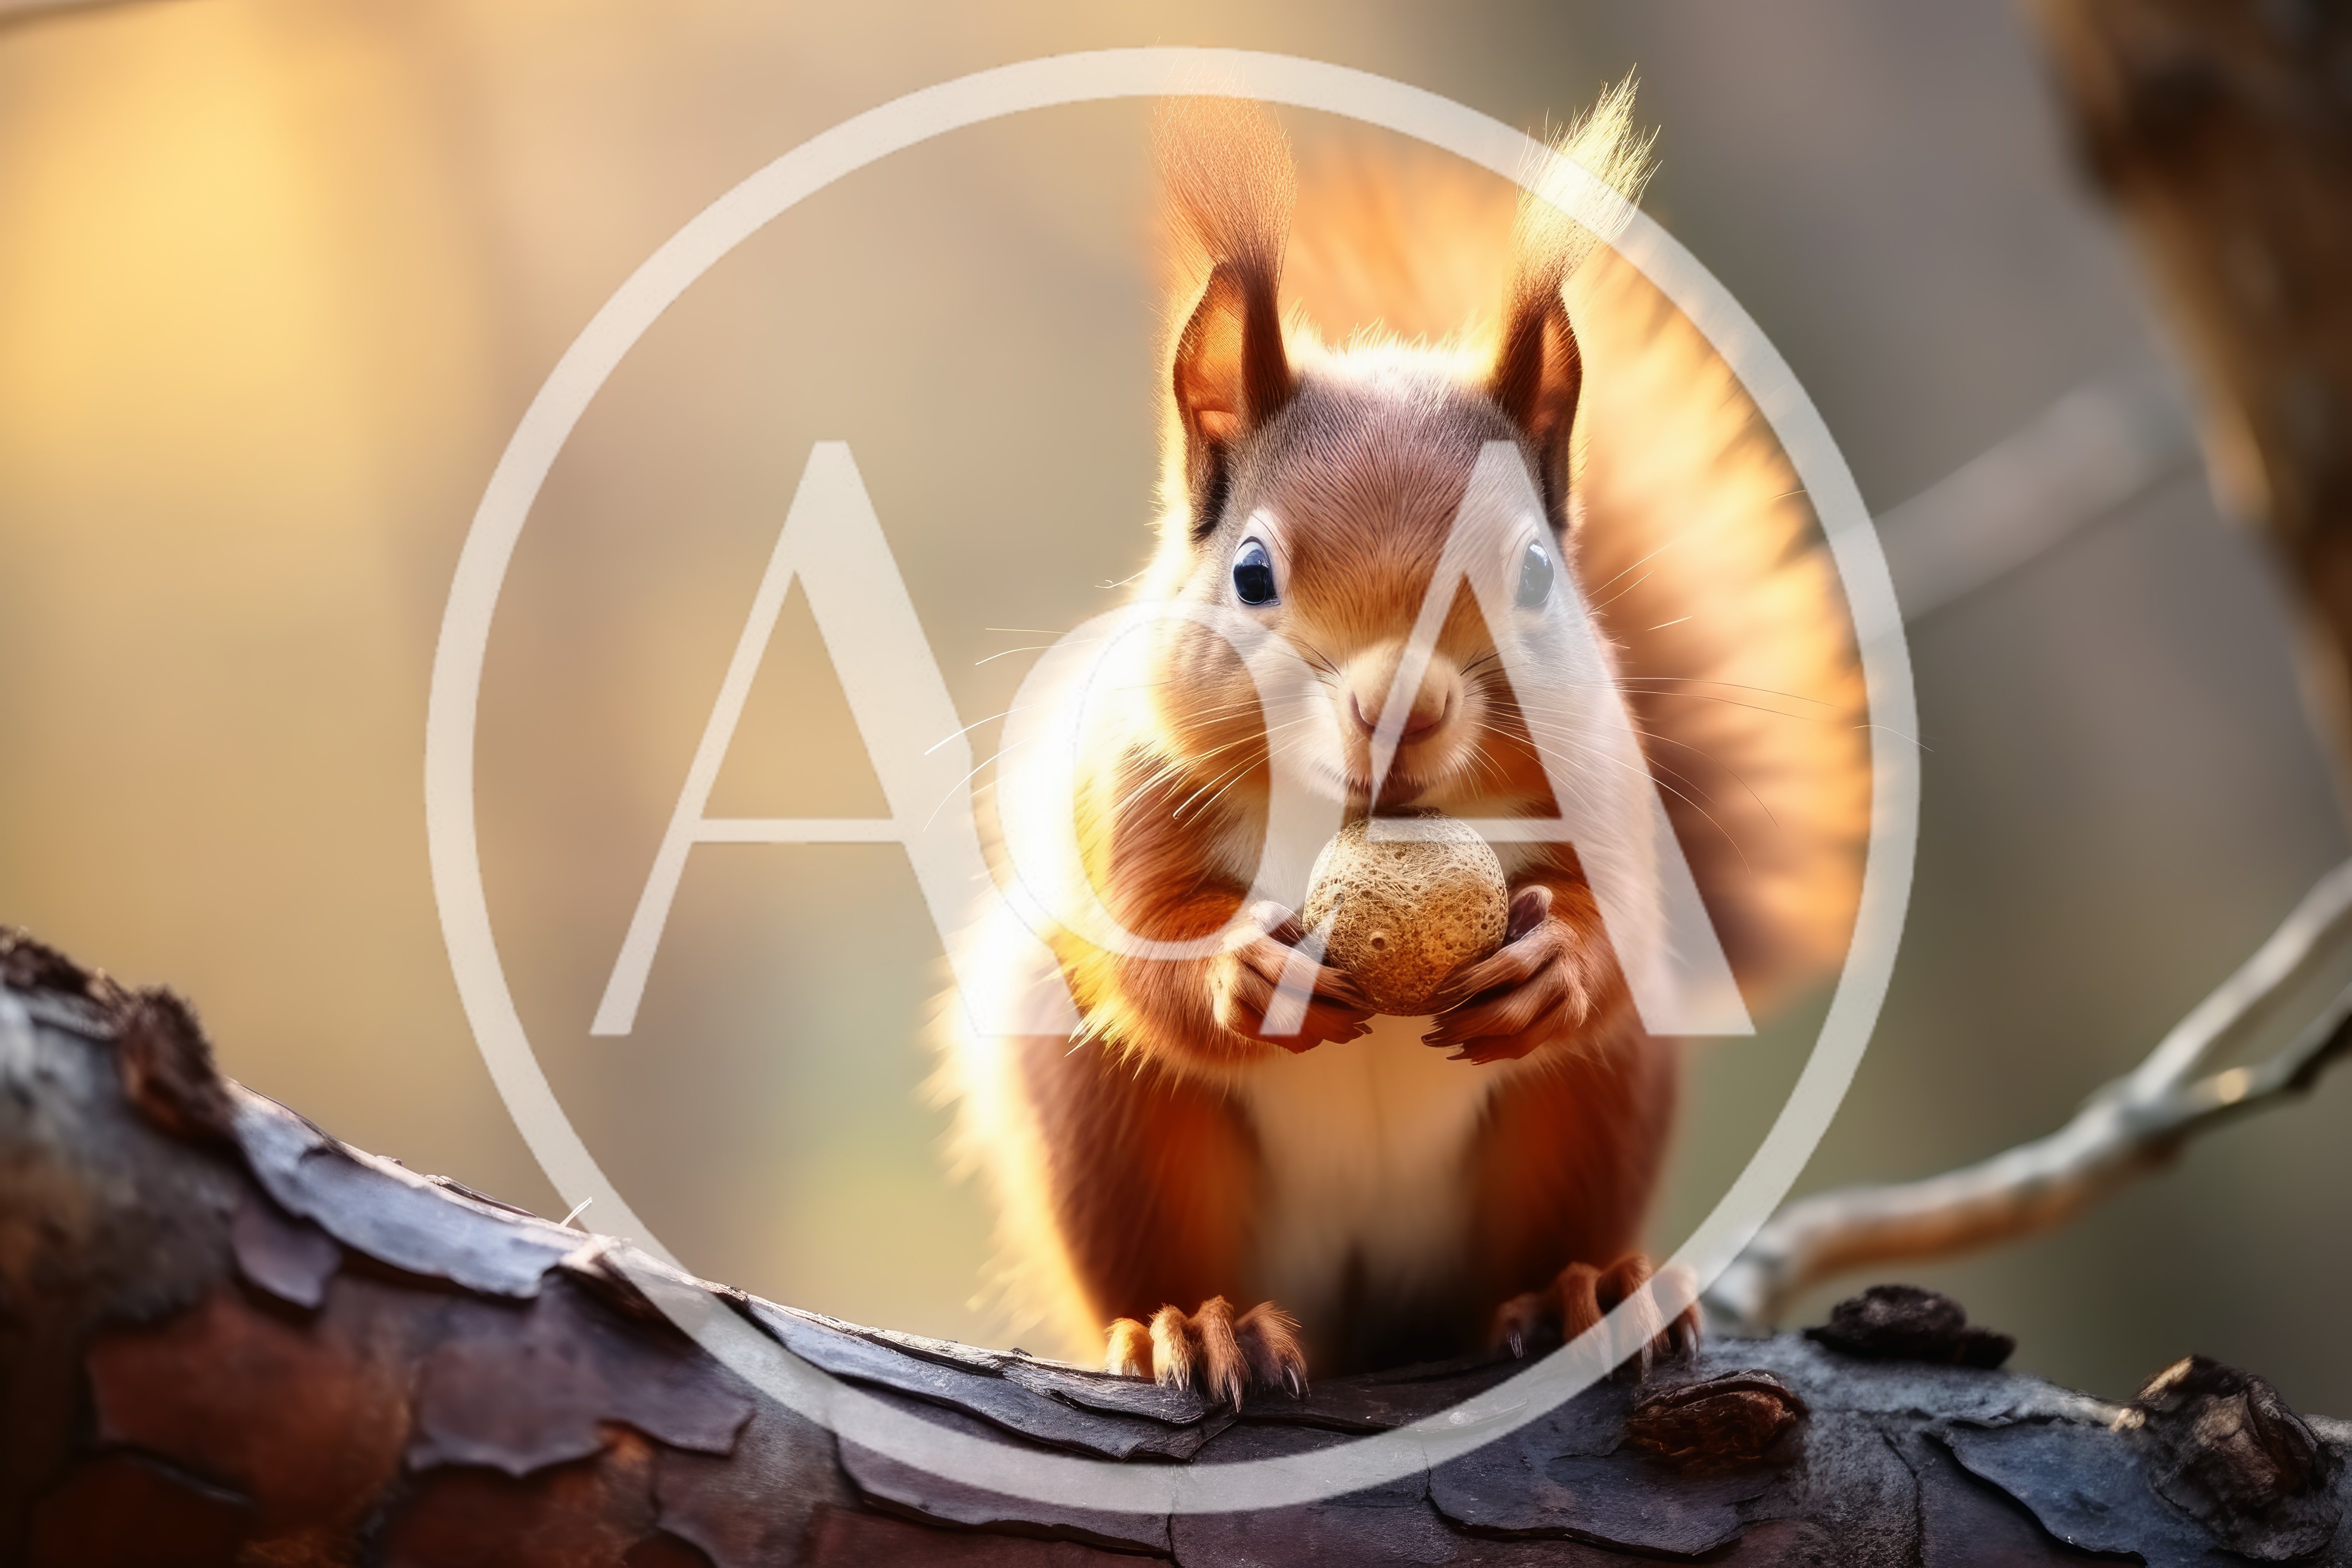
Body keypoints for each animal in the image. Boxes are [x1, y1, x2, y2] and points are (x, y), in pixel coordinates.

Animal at [937, 83, 1870, 1403]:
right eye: (1251, 572)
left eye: (1534, 572)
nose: (1402, 707)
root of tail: (1364, 1329)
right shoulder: (1129, 787)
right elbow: (1142, 942)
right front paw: (1244, 969)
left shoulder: (1609, 795)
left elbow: (1619, 924)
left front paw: (1553, 964)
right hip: (1108, 1126)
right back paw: (1195, 1326)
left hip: (1591, 1110)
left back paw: (1587, 1293)